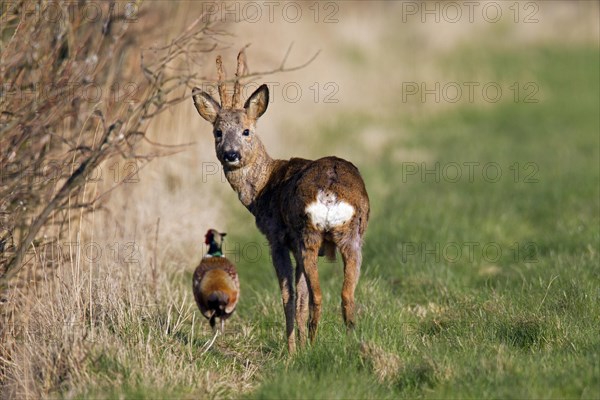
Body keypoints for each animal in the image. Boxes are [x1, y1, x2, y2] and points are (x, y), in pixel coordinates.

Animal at [193, 50, 370, 354]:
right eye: (217, 132)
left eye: (246, 131)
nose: (230, 154)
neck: (264, 187)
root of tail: (330, 193)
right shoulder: (295, 245)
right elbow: (299, 295)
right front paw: (297, 346)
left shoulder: (277, 237)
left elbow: (289, 295)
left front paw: (292, 352)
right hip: (352, 236)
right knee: (346, 295)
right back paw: (349, 344)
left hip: (308, 234)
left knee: (318, 295)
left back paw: (313, 345)